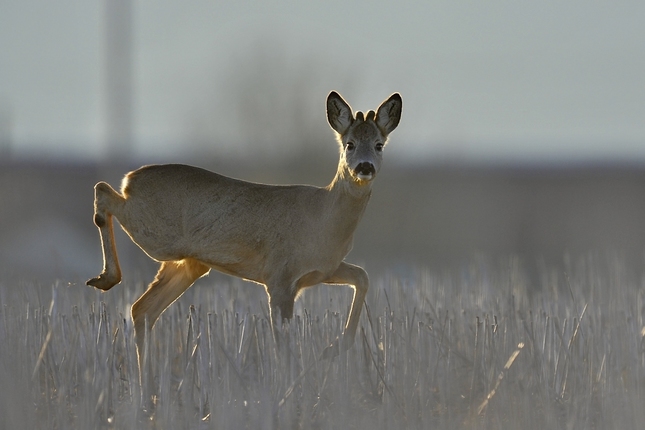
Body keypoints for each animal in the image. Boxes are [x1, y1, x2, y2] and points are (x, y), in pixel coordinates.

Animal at [88, 91, 400, 376]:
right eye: (349, 144)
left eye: (379, 145)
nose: (364, 167)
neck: (324, 220)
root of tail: (130, 179)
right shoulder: (279, 276)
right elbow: (281, 346)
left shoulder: (324, 269)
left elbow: (363, 277)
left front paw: (332, 348)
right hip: (155, 235)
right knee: (104, 191)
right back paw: (105, 278)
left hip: (188, 264)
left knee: (142, 310)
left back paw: (148, 390)